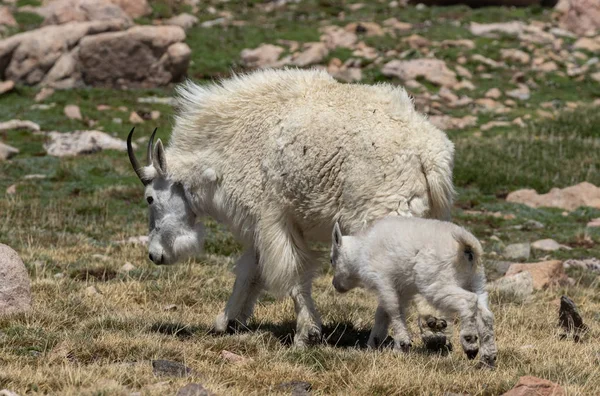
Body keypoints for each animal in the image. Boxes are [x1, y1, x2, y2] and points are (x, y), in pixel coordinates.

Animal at [126, 68, 454, 346]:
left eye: (150, 198)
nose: (155, 255)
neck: (229, 149)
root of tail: (428, 153)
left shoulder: (273, 219)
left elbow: (292, 274)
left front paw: (306, 334)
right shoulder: (265, 227)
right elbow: (249, 273)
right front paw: (227, 322)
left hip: (384, 214)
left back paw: (399, 331)